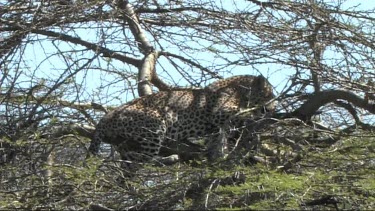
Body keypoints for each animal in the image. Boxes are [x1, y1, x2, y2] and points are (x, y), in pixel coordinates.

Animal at [88, 75, 276, 169]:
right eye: (269, 94)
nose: (274, 107)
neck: (241, 89)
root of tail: (105, 118)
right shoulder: (220, 111)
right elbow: (239, 113)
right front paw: (256, 118)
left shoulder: (216, 128)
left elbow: (217, 140)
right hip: (158, 121)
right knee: (145, 157)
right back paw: (169, 158)